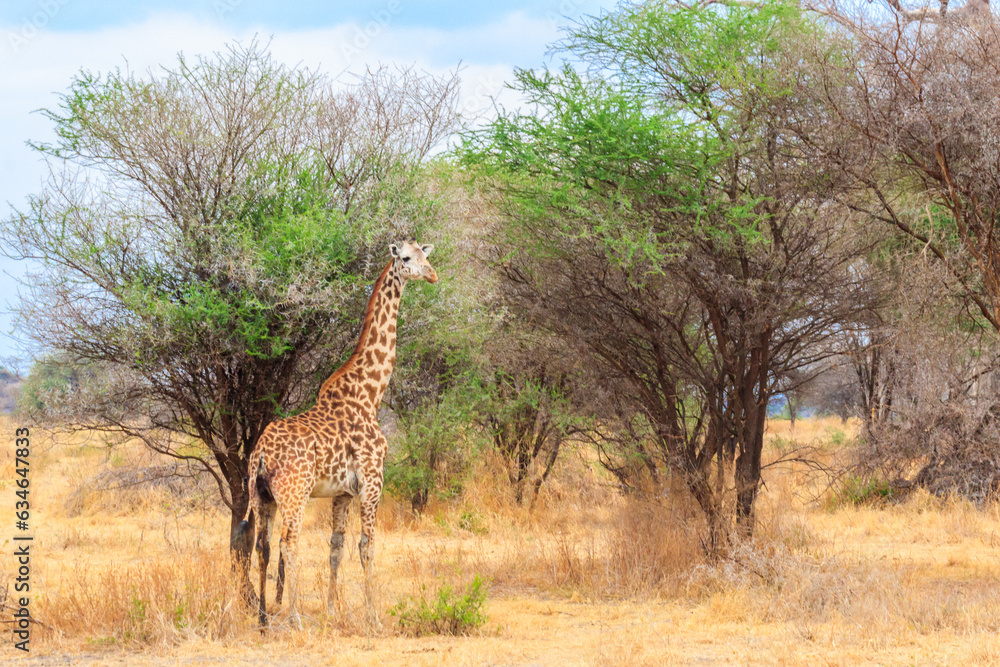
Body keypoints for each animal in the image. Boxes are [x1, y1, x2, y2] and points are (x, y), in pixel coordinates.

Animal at [234, 238, 437, 629]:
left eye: (426, 255)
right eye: (406, 258)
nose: (433, 275)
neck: (371, 393)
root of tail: (260, 453)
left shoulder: (342, 492)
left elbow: (336, 547)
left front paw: (331, 610)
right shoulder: (373, 480)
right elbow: (367, 546)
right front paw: (373, 617)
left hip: (263, 497)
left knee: (262, 545)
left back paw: (265, 618)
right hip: (294, 494)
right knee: (288, 543)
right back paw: (294, 617)